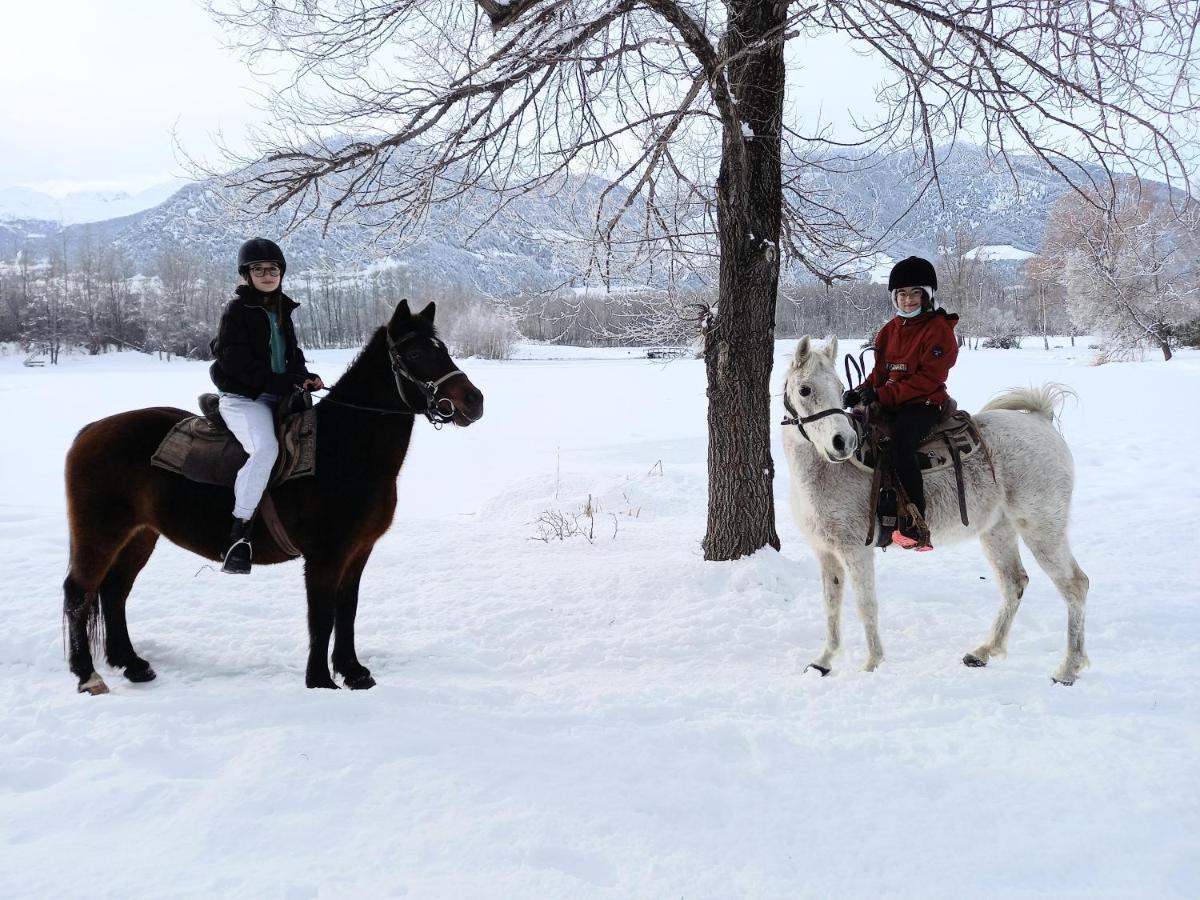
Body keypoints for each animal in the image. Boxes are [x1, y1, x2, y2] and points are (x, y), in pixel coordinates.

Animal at [64, 300, 482, 696]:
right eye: (416, 354)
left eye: (443, 349)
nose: (474, 401)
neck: (342, 447)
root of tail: (90, 431)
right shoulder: (325, 557)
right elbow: (322, 617)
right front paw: (320, 681)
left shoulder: (358, 552)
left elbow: (346, 610)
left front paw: (353, 672)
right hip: (100, 534)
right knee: (79, 593)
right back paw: (88, 676)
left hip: (139, 535)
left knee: (114, 591)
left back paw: (131, 664)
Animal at [777, 336, 1089, 681]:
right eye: (805, 389)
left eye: (839, 387)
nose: (842, 442)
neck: (826, 471)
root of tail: (1040, 420)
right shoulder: (826, 552)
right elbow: (831, 604)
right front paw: (824, 660)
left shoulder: (856, 551)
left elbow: (866, 605)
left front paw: (872, 664)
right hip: (997, 531)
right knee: (1014, 583)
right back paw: (983, 652)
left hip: (1042, 529)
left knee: (1075, 585)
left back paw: (1068, 668)